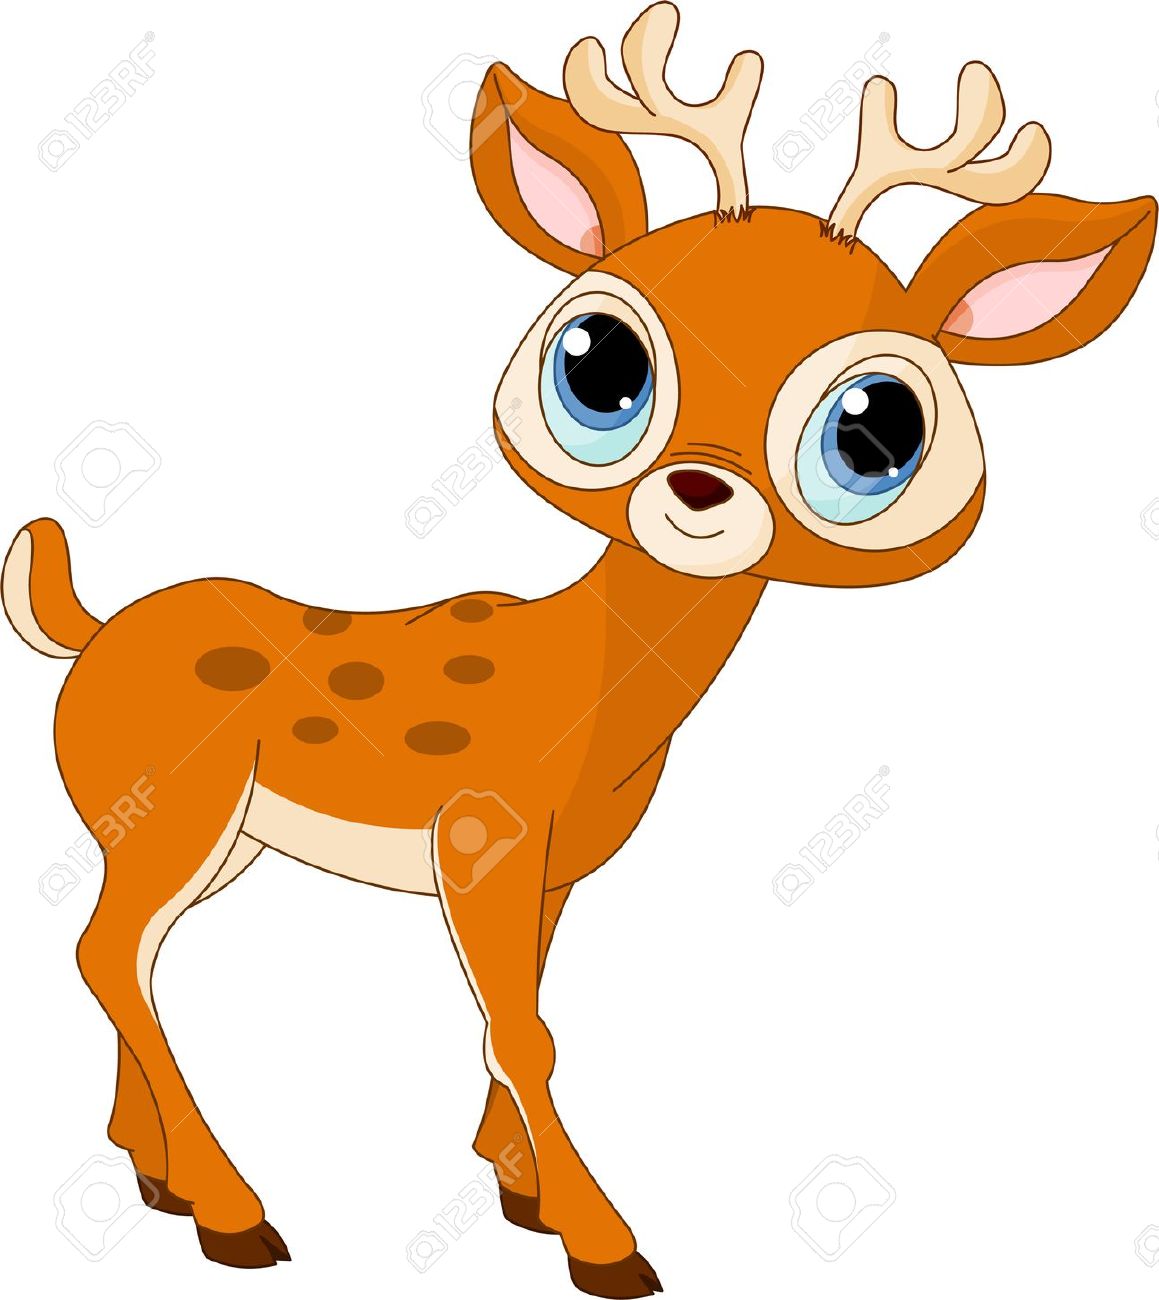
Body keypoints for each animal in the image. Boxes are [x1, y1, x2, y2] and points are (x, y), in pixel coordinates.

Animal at [4, 4, 1154, 1295]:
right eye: (601, 361)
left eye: (878, 431)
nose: (697, 488)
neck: (593, 695)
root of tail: (88, 630)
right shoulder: (481, 833)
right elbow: (524, 1031)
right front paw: (607, 1242)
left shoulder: (550, 866)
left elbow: (519, 1019)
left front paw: (521, 1194)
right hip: (174, 808)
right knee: (109, 951)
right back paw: (232, 1210)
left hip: (200, 835)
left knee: (128, 956)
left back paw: (155, 1176)